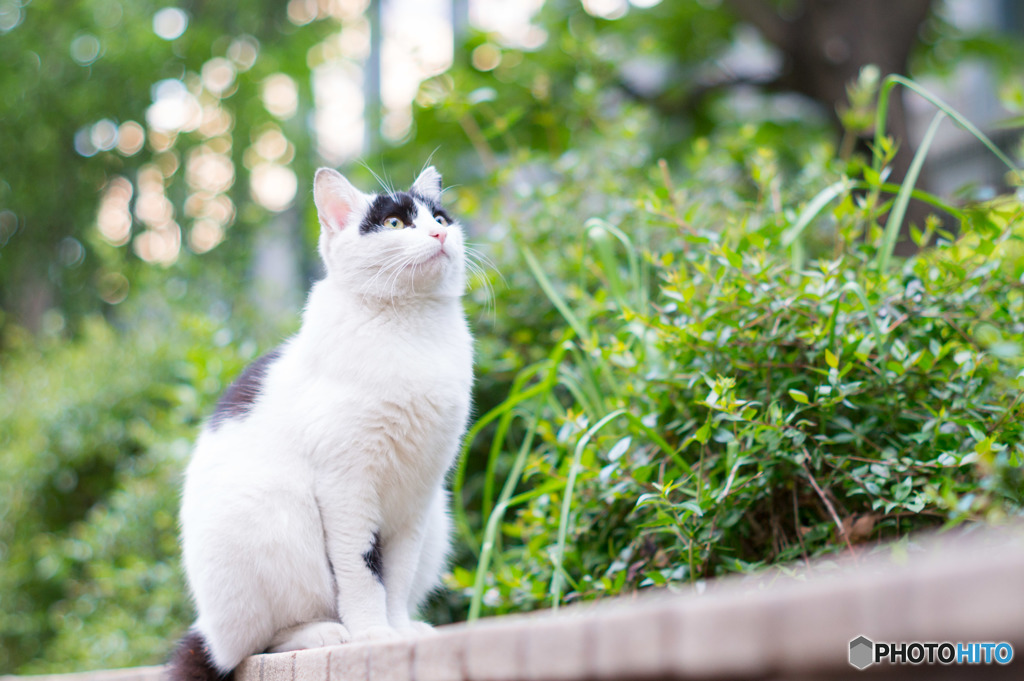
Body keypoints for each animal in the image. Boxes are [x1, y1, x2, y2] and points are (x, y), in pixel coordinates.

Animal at [167, 164, 471, 679]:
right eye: (394, 224)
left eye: (440, 218)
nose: (438, 234)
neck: (412, 329)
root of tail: (208, 629)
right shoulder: (346, 489)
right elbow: (362, 573)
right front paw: (372, 634)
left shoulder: (416, 497)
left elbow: (397, 575)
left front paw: (397, 630)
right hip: (277, 514)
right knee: (259, 641)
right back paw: (325, 633)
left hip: (437, 520)